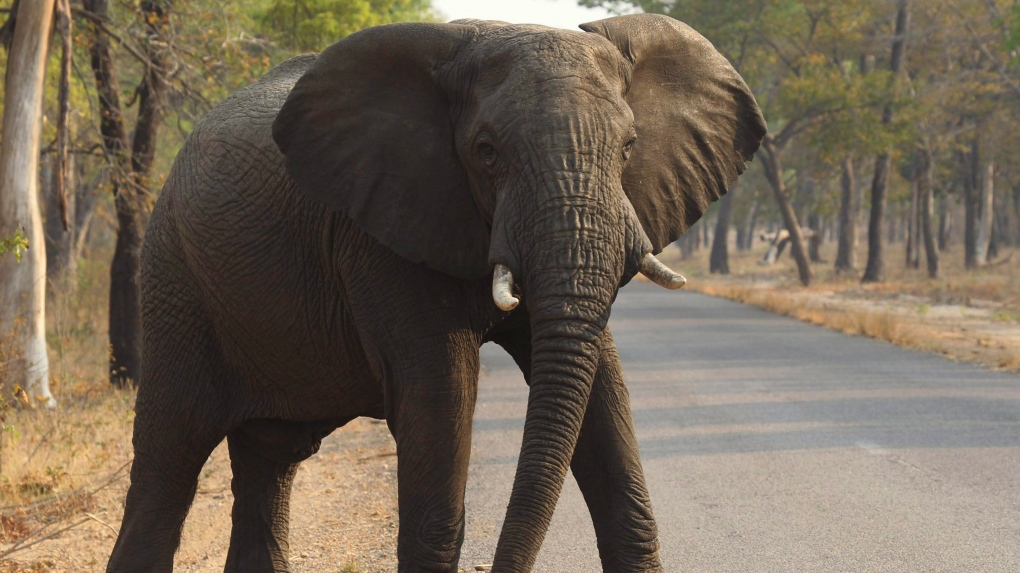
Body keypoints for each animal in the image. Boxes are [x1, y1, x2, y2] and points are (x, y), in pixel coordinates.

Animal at [106, 13, 765, 573]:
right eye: (486, 152)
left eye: (629, 147)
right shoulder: (380, 233)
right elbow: (440, 394)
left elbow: (601, 386)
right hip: (175, 279)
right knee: (169, 462)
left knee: (268, 462)